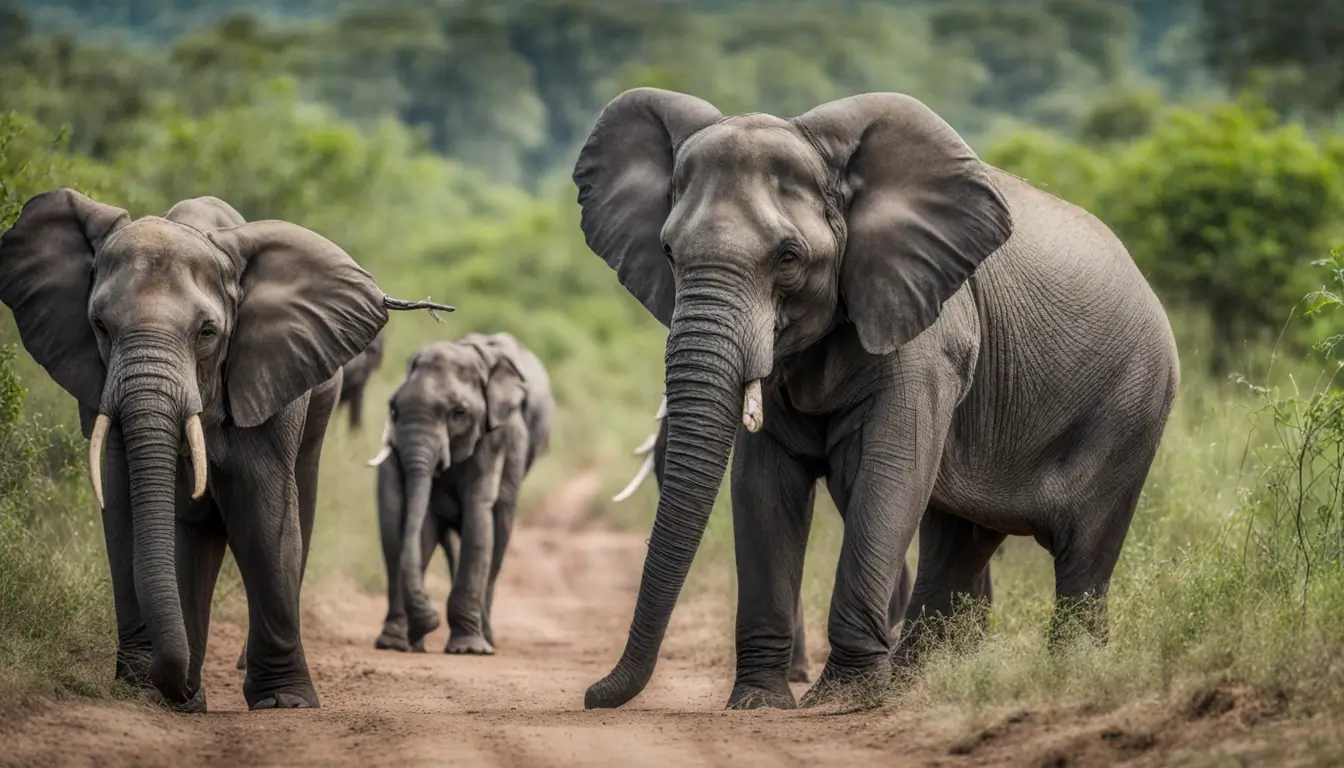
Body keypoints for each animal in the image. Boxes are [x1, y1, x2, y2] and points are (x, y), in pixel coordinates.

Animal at [0, 190, 451, 715]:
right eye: (100, 326)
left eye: (207, 332)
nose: (168, 686)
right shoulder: (95, 381)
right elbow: (131, 505)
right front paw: (149, 692)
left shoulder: (268, 370)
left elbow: (262, 510)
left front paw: (284, 702)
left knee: (299, 501)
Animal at [368, 330, 551, 656]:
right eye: (393, 407)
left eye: (459, 413)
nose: (429, 622)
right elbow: (410, 526)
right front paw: (399, 643)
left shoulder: (494, 439)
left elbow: (478, 518)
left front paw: (468, 650)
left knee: (498, 534)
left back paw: (485, 639)